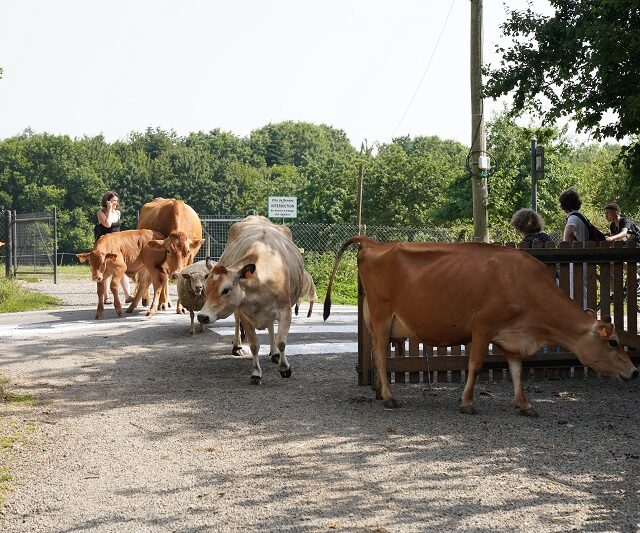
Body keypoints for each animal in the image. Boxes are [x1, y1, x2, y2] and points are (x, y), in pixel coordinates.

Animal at [198, 214, 304, 384]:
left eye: (225, 289)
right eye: (205, 289)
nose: (202, 316)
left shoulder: (285, 310)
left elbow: (281, 341)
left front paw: (284, 368)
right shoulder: (244, 313)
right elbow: (254, 345)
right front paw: (256, 373)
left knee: (271, 327)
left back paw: (274, 353)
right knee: (237, 323)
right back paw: (237, 347)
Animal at [328, 237, 636, 416]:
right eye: (613, 342)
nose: (634, 371)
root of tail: (374, 243)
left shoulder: (512, 336)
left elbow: (517, 371)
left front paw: (524, 405)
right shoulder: (482, 326)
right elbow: (475, 364)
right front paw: (466, 403)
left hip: (377, 320)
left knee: (373, 353)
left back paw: (379, 391)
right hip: (382, 315)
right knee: (380, 355)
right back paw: (390, 398)